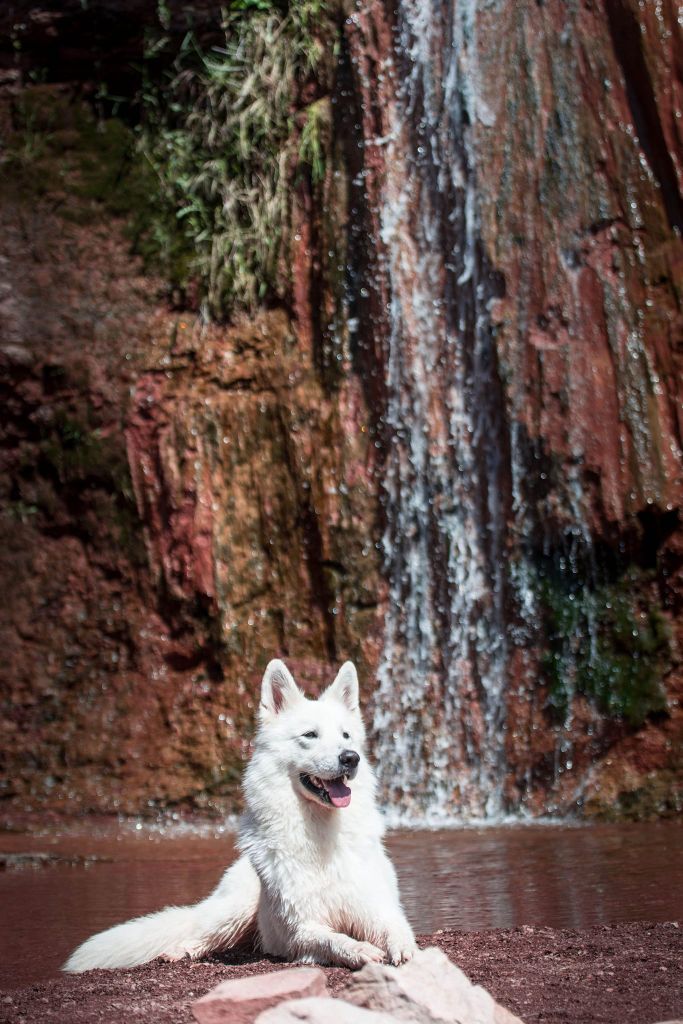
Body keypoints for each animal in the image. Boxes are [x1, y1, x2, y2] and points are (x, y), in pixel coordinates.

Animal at [63, 659, 417, 970]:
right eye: (310, 735)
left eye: (345, 736)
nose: (350, 758)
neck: (321, 832)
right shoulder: (299, 929)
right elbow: (333, 939)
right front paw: (360, 950)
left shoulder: (376, 907)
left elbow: (396, 927)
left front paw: (405, 948)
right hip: (233, 909)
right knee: (200, 933)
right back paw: (178, 951)